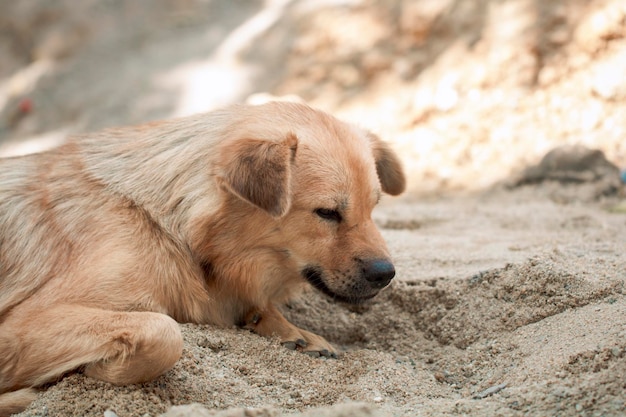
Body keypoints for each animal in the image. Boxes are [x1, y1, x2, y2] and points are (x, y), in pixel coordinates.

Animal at [0, 101, 404, 412]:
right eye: (327, 213)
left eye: (374, 207)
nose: (386, 274)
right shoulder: (21, 324)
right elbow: (165, 334)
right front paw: (89, 371)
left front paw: (288, 330)